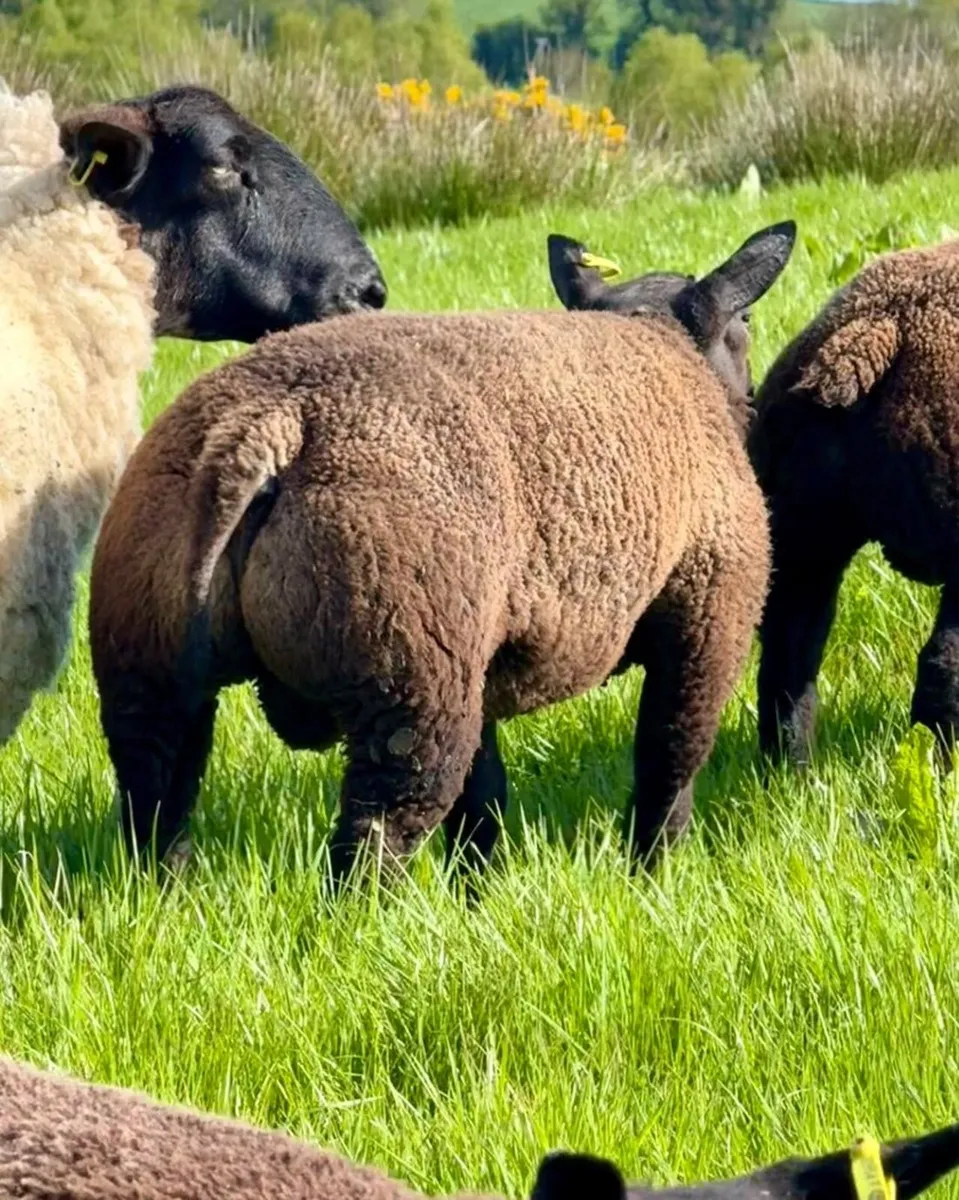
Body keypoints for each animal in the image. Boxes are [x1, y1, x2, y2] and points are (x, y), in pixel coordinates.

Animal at [87, 219, 793, 882]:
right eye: (748, 323)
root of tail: (267, 423)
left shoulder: (479, 655)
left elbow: (484, 802)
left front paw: (478, 895)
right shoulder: (709, 618)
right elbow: (667, 765)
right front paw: (649, 876)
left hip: (147, 660)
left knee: (155, 810)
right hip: (407, 672)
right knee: (374, 842)